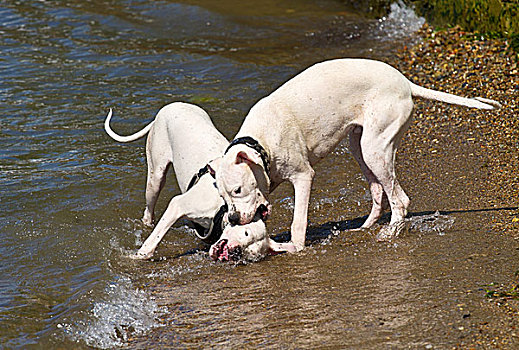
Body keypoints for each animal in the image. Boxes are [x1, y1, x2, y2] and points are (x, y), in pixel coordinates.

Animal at [104, 102, 294, 262]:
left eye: (250, 253)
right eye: (246, 233)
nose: (236, 251)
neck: (224, 209)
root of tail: (169, 106)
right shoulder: (178, 205)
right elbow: (154, 239)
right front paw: (138, 256)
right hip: (155, 177)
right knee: (149, 209)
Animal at [213, 58, 502, 252]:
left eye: (238, 190)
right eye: (223, 197)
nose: (233, 219)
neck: (261, 143)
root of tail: (404, 82)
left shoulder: (303, 177)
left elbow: (298, 221)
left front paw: (295, 248)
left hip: (375, 149)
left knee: (400, 200)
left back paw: (389, 233)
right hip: (360, 146)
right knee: (378, 193)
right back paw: (364, 228)